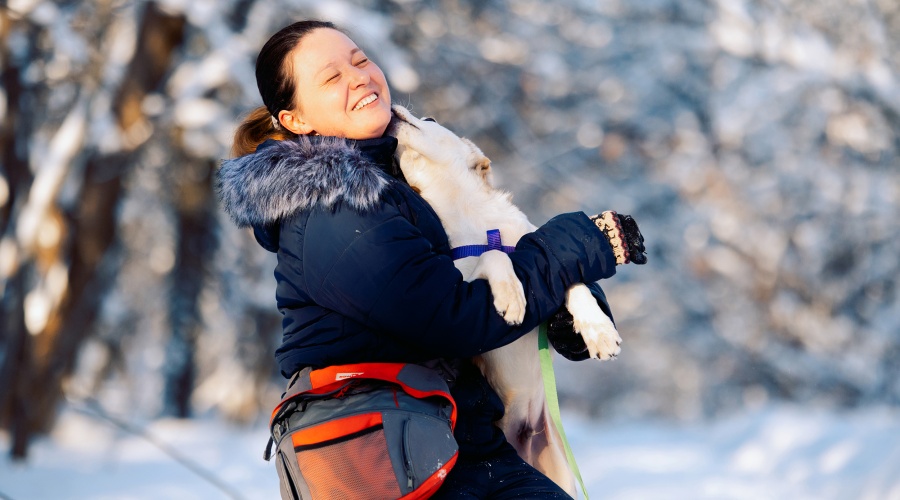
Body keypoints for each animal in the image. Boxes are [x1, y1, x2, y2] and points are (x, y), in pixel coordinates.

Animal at [388, 105, 621, 496]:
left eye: (431, 121)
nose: (392, 110)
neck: (474, 220)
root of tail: (520, 434)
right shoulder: (457, 283)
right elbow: (494, 256)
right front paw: (511, 296)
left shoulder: (542, 257)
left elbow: (574, 284)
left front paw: (600, 333)